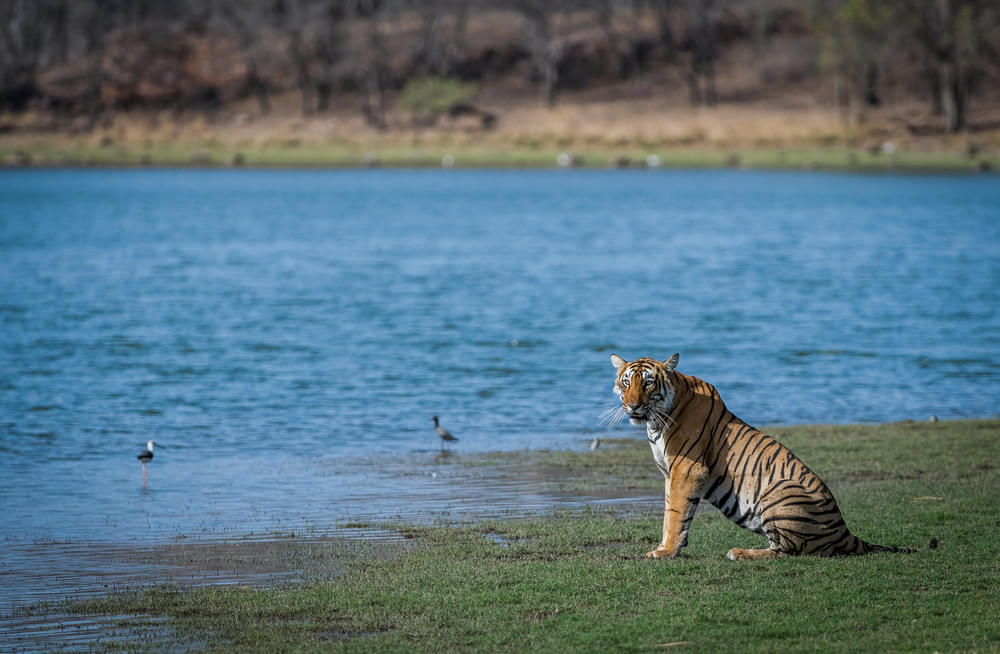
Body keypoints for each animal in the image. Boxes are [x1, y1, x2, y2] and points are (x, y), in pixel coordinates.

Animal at [604, 356, 916, 560]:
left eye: (648, 384)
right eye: (627, 383)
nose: (632, 406)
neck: (655, 422)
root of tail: (845, 530)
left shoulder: (687, 470)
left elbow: (676, 513)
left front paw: (666, 551)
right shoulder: (670, 474)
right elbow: (670, 512)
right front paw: (664, 547)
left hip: (779, 491)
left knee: (790, 551)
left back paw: (740, 553)